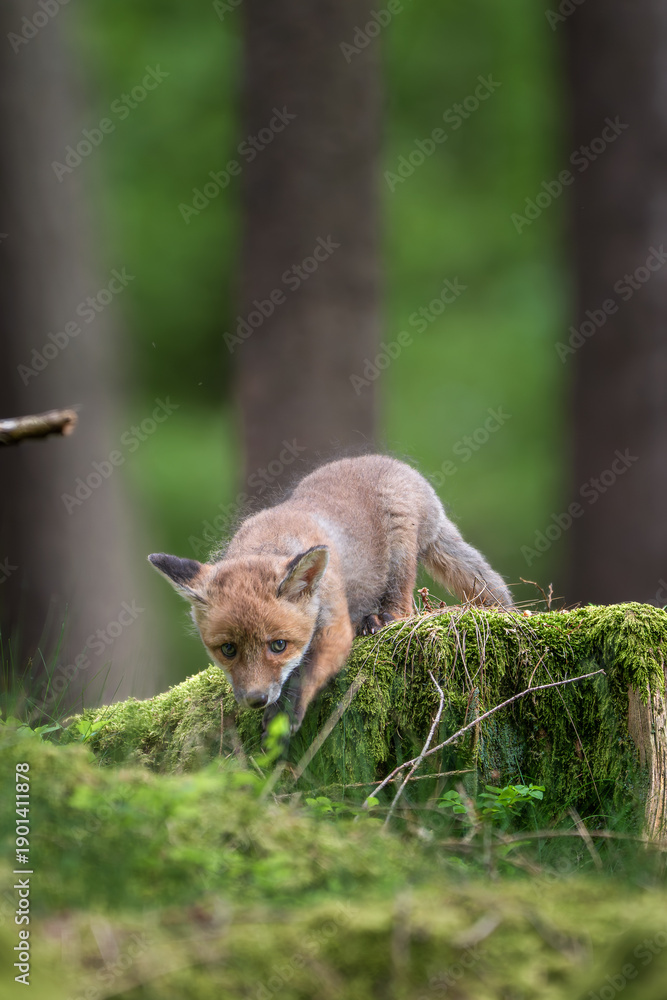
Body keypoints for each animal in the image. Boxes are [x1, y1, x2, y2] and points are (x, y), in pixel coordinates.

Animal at [149, 454, 512, 734]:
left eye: (278, 645)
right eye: (227, 650)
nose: (256, 699)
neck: (272, 540)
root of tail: (389, 461)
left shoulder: (335, 627)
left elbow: (305, 674)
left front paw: (284, 718)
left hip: (400, 553)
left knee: (404, 606)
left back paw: (380, 620)